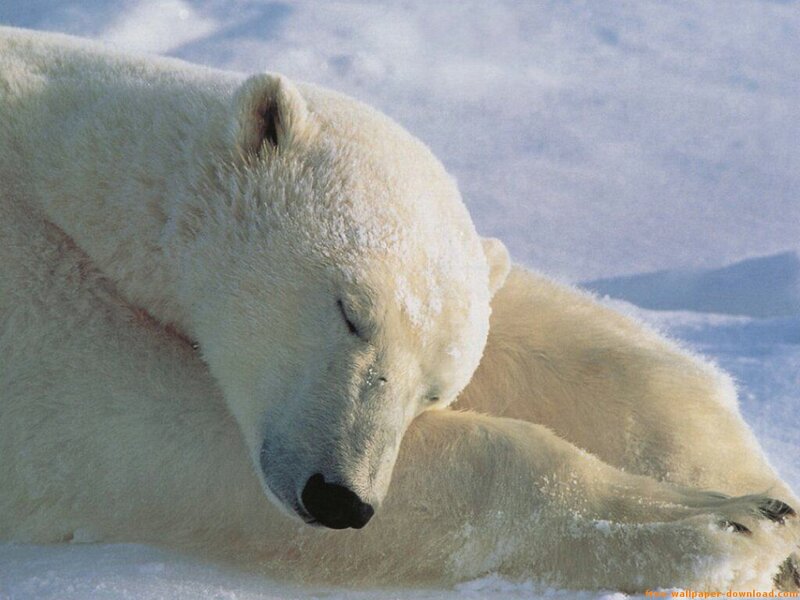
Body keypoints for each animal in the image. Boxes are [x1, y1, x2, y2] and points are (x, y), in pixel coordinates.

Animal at [0, 26, 797, 592]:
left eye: (434, 390)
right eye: (349, 312)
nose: (340, 498)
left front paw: (762, 499)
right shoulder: (28, 302)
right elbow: (130, 422)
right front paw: (718, 526)